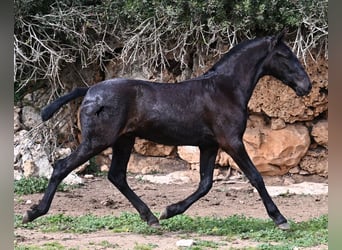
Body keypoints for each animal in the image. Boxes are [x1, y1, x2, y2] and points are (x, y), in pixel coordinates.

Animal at [23, 30, 312, 230]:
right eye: (285, 55)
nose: (306, 86)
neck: (225, 89)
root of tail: (90, 90)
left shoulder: (209, 145)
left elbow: (205, 184)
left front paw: (170, 210)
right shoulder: (231, 142)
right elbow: (255, 177)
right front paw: (280, 219)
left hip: (123, 140)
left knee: (117, 176)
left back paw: (151, 217)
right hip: (98, 140)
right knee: (62, 167)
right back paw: (33, 213)